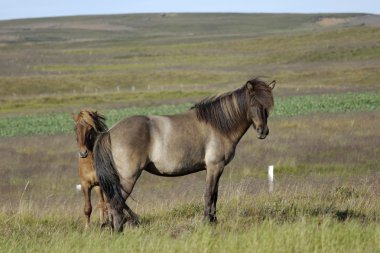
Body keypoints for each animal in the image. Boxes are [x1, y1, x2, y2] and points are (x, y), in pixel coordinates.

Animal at [94, 77, 274, 231]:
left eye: (268, 105)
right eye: (253, 103)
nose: (263, 132)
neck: (218, 126)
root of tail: (109, 132)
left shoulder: (215, 169)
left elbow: (215, 195)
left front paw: (213, 220)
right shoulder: (215, 166)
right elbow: (209, 194)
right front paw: (206, 221)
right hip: (128, 178)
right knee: (115, 203)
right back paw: (118, 231)